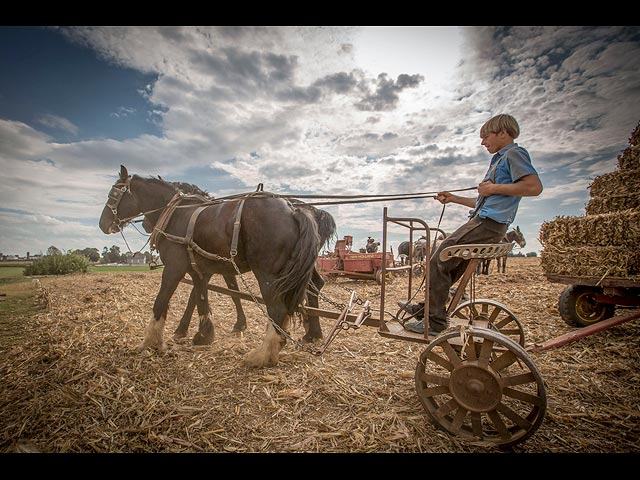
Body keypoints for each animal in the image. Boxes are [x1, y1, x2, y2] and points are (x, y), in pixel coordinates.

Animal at [99, 166, 336, 368]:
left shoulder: (175, 267)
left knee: (278, 309)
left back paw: (263, 355)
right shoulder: (200, 270)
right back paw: (303, 335)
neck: (177, 214)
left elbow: (161, 301)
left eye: (113, 194)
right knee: (305, 293)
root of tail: (294, 210)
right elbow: (201, 299)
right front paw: (203, 335)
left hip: (268, 274)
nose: (102, 224)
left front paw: (151, 342)